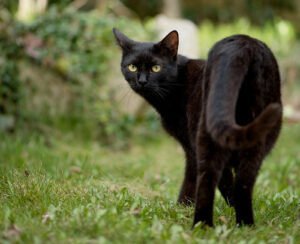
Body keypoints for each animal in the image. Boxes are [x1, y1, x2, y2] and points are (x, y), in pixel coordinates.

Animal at [113, 27, 282, 228]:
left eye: (156, 68)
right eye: (132, 67)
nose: (142, 81)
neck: (178, 83)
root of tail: (244, 43)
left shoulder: (190, 145)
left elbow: (192, 179)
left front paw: (181, 207)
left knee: (210, 178)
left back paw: (202, 225)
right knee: (244, 182)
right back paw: (245, 225)